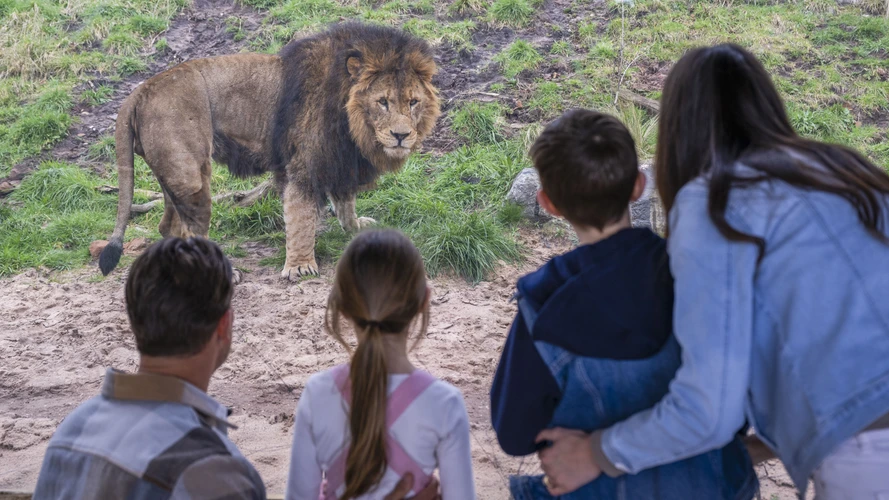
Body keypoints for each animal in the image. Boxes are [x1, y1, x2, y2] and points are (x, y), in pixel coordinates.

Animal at [99, 22, 440, 280]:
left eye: (413, 102)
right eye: (382, 102)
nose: (401, 135)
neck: (353, 125)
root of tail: (140, 90)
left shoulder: (338, 160)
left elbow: (346, 203)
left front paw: (356, 227)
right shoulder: (305, 164)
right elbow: (301, 216)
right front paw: (300, 266)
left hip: (174, 174)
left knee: (168, 226)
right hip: (191, 175)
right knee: (189, 230)